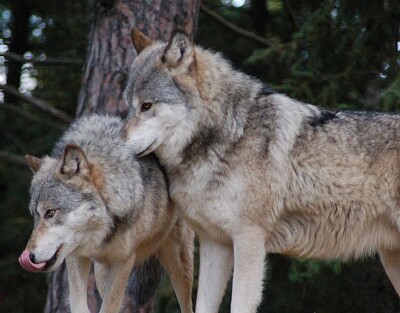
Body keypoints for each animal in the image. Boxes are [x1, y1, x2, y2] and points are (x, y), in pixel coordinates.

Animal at [18, 113, 194, 312]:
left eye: (50, 213)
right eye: (35, 215)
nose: (29, 256)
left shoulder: (124, 261)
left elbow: (109, 305)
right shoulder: (76, 256)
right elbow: (80, 305)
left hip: (179, 264)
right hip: (101, 272)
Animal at [124, 27, 400, 312]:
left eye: (146, 106)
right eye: (129, 107)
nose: (119, 144)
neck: (226, 134)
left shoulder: (249, 239)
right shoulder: (215, 244)